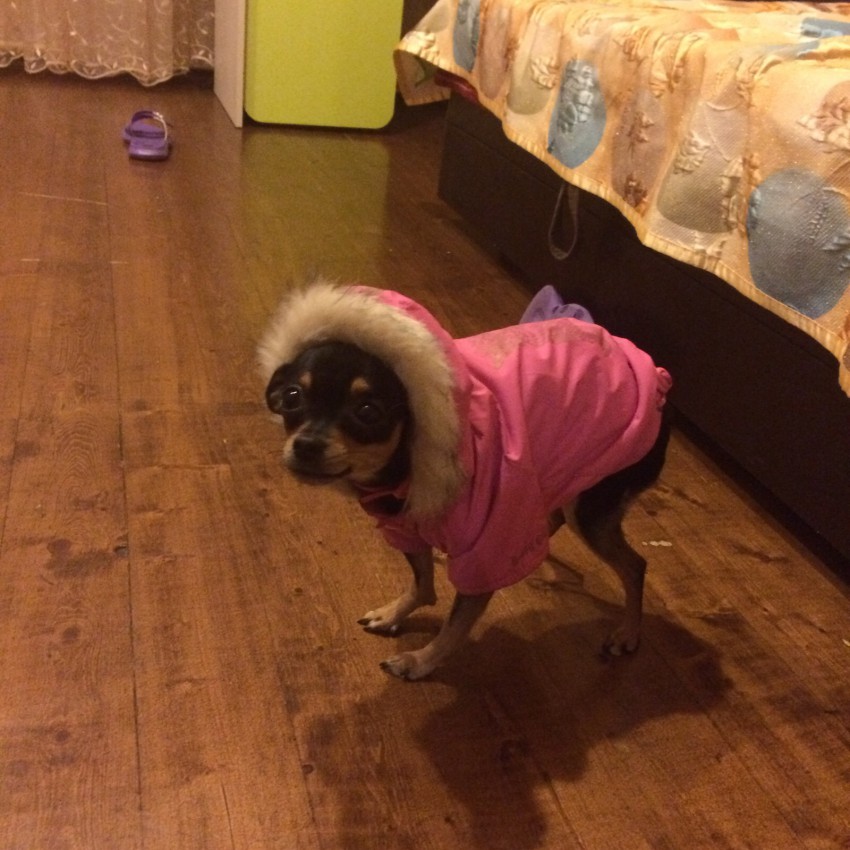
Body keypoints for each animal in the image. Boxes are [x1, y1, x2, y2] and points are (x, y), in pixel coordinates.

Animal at [259, 282, 672, 680]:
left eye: (367, 412)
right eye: (291, 397)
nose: (307, 446)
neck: (403, 473)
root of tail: (659, 382)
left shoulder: (482, 554)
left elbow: (455, 627)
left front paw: (420, 662)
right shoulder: (407, 529)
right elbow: (422, 582)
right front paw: (395, 613)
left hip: (591, 508)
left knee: (635, 566)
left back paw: (628, 633)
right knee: (551, 516)